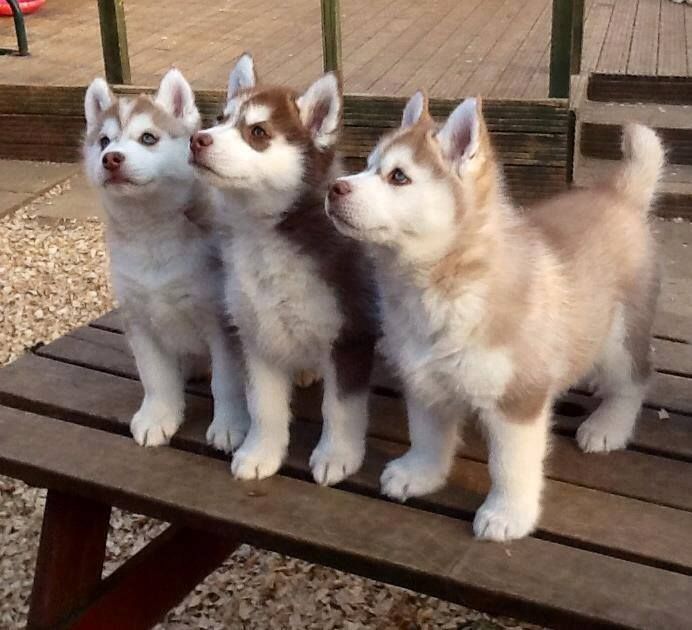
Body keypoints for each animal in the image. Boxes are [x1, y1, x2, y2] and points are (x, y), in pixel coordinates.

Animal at [83, 69, 249, 454]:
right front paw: (158, 417)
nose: (111, 158)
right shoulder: (138, 318)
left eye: (148, 138)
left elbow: (227, 382)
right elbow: (155, 377)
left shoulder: (220, 321)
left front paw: (230, 424)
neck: (151, 233)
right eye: (104, 141)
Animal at [189, 55, 376, 488]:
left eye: (257, 132)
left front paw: (336, 455)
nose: (197, 139)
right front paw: (261, 452)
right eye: (220, 119)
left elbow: (339, 408)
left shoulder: (350, 335)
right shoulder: (257, 334)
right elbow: (264, 406)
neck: (264, 238)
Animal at [328, 92, 664, 544]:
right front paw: (421, 473)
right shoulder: (424, 378)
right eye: (367, 165)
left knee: (634, 378)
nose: (334, 187)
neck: (440, 286)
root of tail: (617, 193)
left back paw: (608, 425)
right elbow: (426, 433)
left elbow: (510, 464)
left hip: (620, 336)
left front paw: (508, 514)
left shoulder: (518, 398)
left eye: (398, 177)